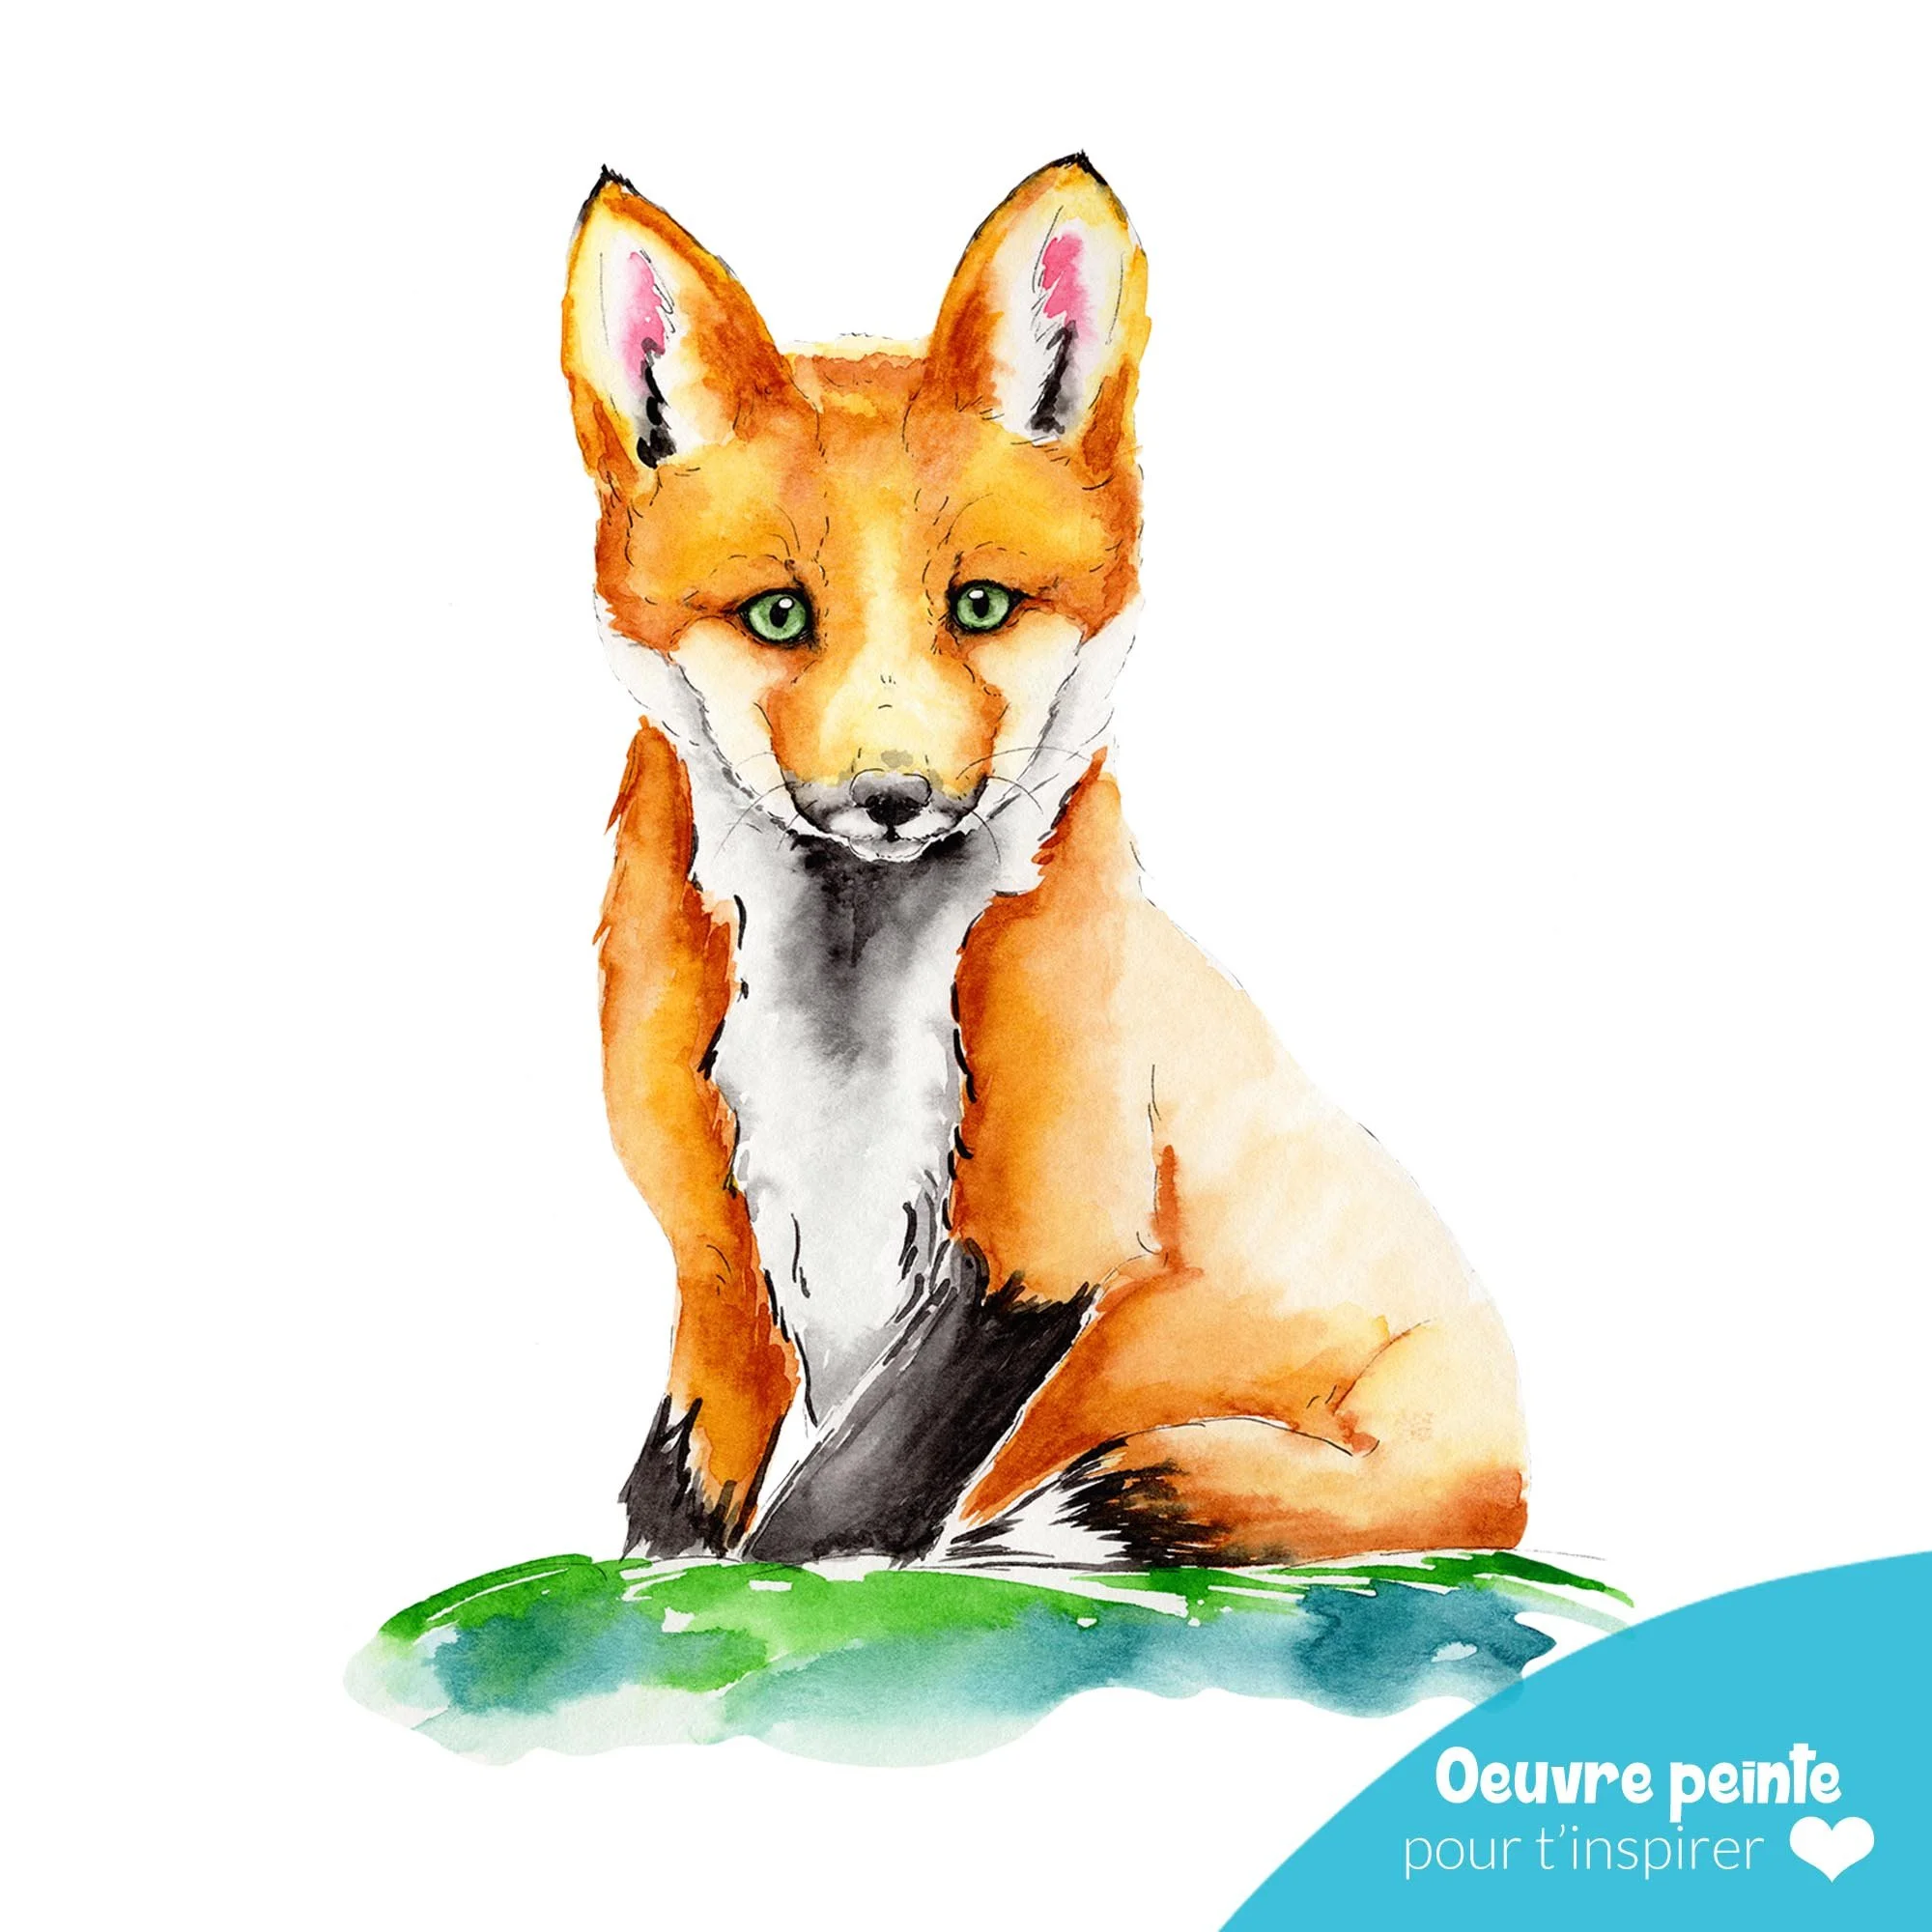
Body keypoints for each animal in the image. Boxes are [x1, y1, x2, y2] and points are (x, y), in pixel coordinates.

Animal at [559, 155, 1528, 1569]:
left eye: (980, 606)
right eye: (780, 616)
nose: (891, 797)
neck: (840, 1043)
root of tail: (1520, 1451)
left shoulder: (1045, 1233)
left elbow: (837, 1508)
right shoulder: (715, 1259)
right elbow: (682, 1503)